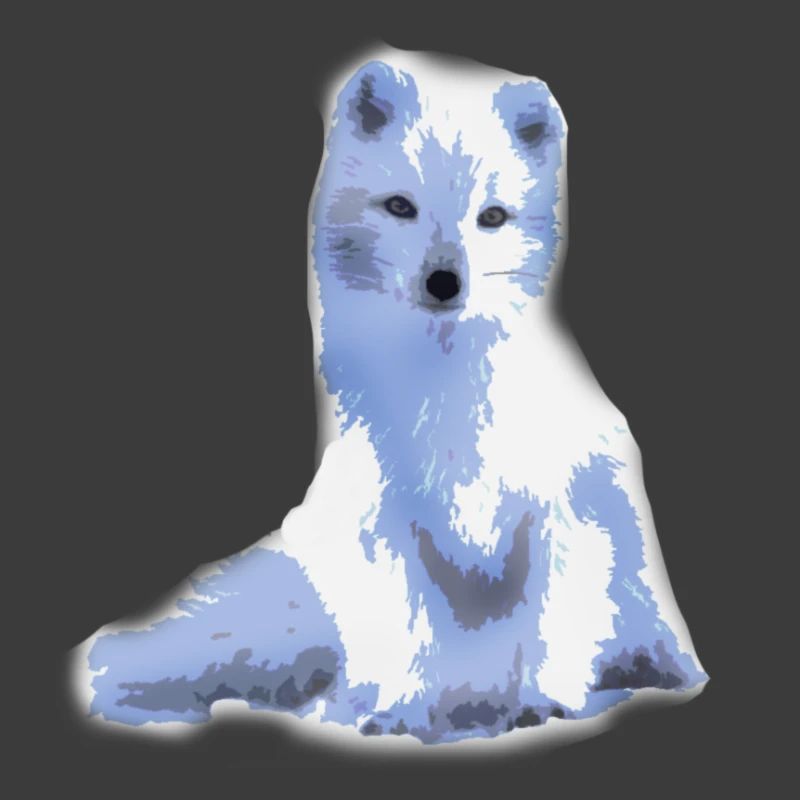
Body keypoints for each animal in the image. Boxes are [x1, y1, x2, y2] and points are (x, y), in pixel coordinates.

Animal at [68, 44, 709, 751]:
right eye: (400, 207)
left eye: (492, 217)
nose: (444, 281)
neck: (448, 392)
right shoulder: (386, 520)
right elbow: (408, 627)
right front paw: (400, 713)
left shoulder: (564, 510)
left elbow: (552, 623)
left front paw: (548, 704)